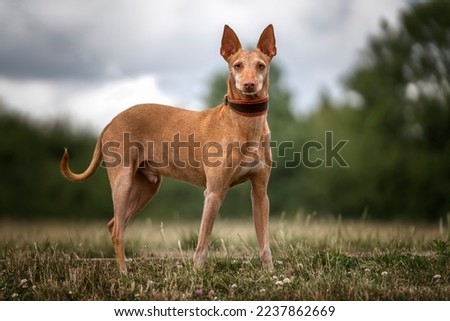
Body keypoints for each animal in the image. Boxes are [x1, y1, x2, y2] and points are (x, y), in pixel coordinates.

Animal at [60, 23, 278, 272]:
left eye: (261, 65)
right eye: (237, 65)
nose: (249, 85)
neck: (244, 123)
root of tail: (111, 121)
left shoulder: (260, 193)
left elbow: (264, 243)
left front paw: (270, 273)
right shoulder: (213, 192)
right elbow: (202, 243)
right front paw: (197, 274)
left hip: (146, 188)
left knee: (115, 224)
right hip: (122, 182)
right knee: (117, 230)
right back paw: (124, 273)